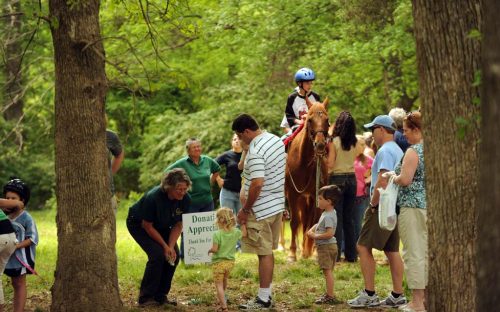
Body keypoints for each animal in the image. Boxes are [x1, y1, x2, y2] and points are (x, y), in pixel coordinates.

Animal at [284, 97, 330, 260]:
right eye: (309, 120)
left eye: (327, 120)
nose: (320, 144)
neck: (304, 161)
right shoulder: (292, 194)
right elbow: (294, 222)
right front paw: (292, 254)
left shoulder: (317, 194)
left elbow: (316, 220)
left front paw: (315, 251)